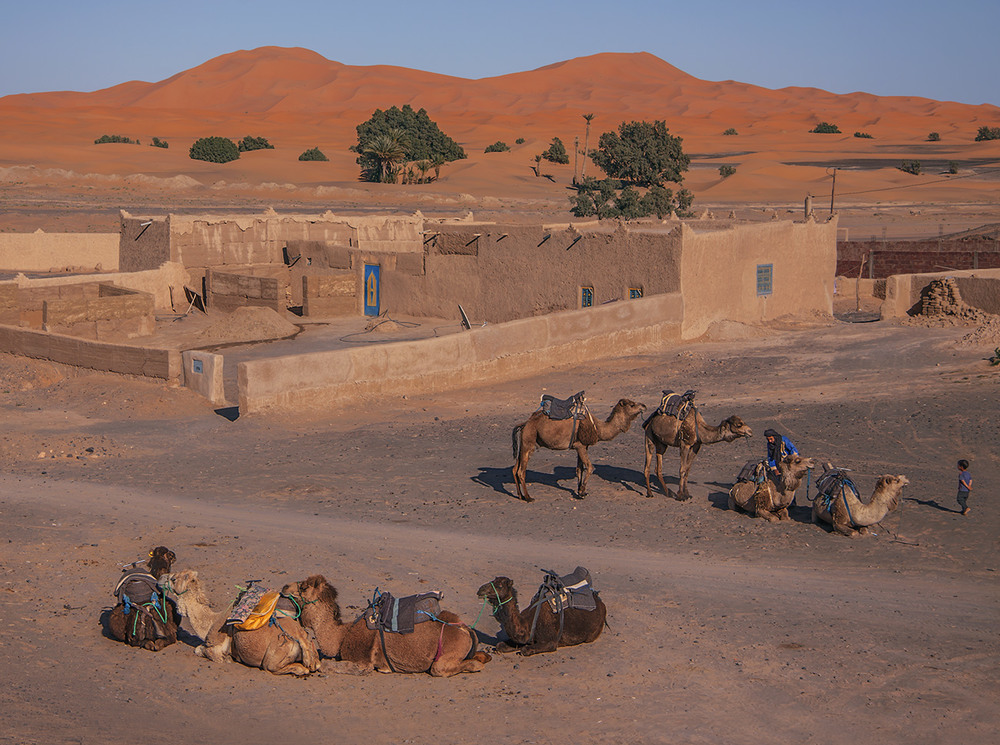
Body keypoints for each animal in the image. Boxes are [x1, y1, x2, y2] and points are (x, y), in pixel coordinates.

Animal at [158, 568, 318, 676]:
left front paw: (228, 658)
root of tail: (300, 637)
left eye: (174, 579)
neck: (210, 622)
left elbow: (199, 650)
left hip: (274, 656)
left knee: (286, 667)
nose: (160, 577)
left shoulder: (216, 647)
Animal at [282, 572, 492, 676]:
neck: (341, 635)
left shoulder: (362, 662)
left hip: (446, 654)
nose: (284, 586)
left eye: (303, 587)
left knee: (441, 668)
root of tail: (464, 628)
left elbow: (328, 665)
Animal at [478, 572, 608, 652]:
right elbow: (500, 645)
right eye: (492, 581)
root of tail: (601, 602)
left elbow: (526, 649)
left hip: (593, 634)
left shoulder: (551, 642)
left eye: (499, 586)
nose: (480, 589)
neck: (528, 624)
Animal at [512, 396, 644, 500]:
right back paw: (528, 497)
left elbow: (579, 469)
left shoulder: (582, 446)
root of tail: (525, 424)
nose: (644, 406)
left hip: (524, 443)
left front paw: (581, 491)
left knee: (515, 469)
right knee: (521, 471)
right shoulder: (580, 446)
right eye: (632, 405)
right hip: (529, 440)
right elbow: (590, 467)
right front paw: (581, 491)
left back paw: (520, 496)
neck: (597, 428)